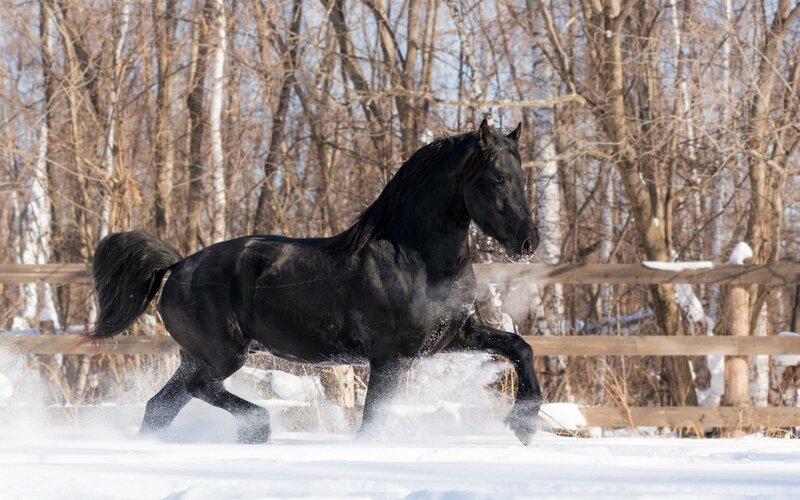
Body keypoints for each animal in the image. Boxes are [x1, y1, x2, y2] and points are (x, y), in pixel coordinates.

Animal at [89, 119, 542, 444]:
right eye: (497, 179)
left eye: (520, 177)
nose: (528, 242)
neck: (416, 260)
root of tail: (179, 265)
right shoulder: (391, 357)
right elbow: (372, 420)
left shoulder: (450, 337)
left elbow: (519, 346)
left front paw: (525, 423)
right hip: (221, 355)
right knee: (200, 388)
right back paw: (258, 427)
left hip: (196, 356)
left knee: (160, 406)